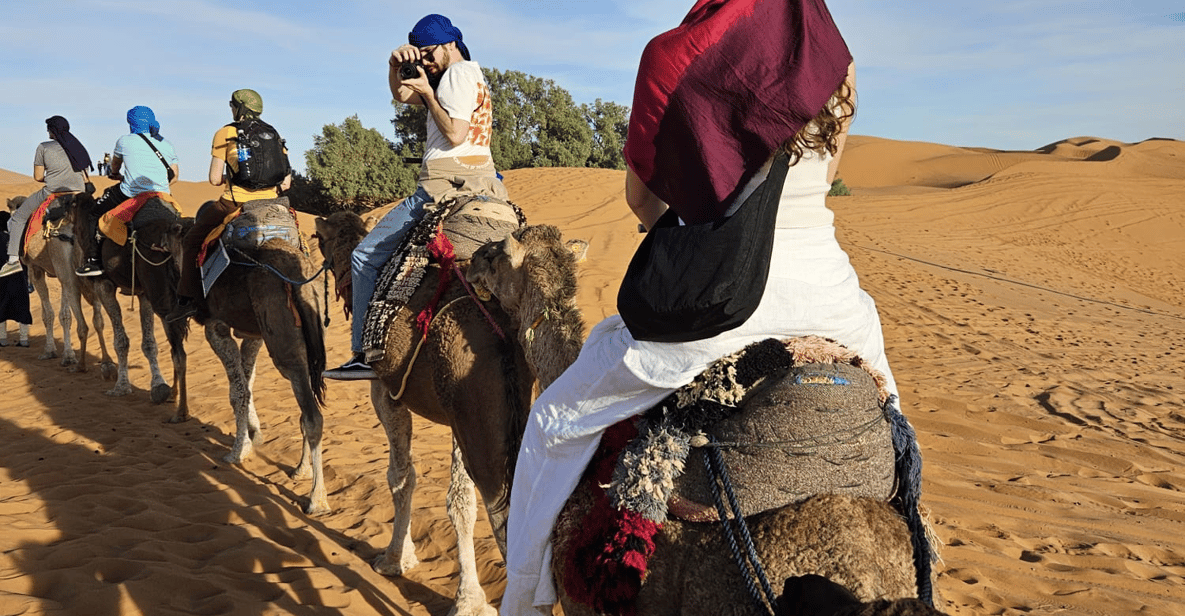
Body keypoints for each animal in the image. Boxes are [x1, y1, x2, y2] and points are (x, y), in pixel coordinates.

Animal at [14, 191, 115, 374]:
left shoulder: (35, 268)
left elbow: (48, 314)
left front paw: (50, 351)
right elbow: (65, 314)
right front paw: (68, 355)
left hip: (61, 263)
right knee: (97, 317)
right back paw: (106, 362)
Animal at [164, 202, 327, 514]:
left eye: (172, 239)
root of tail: (298, 277)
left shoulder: (216, 327)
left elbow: (236, 392)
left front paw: (238, 452)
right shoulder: (254, 335)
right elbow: (247, 385)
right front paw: (253, 436)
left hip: (283, 342)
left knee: (312, 413)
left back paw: (317, 499)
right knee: (307, 406)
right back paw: (301, 470)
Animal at [312, 212, 540, 616]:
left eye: (320, 238)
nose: (314, 227)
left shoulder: (386, 392)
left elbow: (401, 477)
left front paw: (395, 559)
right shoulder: (457, 418)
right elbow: (460, 499)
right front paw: (469, 598)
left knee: (503, 507)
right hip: (501, 410)